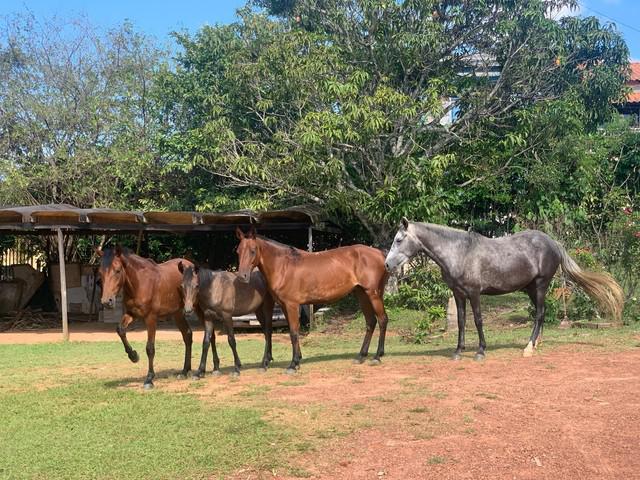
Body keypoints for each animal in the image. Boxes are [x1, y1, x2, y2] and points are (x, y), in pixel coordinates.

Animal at [95, 248, 199, 390]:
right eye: (100, 272)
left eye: (117, 270)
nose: (107, 301)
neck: (140, 283)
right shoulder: (132, 314)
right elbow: (120, 330)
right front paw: (133, 356)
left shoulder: (151, 318)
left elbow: (150, 348)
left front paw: (149, 379)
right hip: (177, 314)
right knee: (187, 335)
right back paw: (184, 371)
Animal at [236, 227, 390, 374]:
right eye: (238, 251)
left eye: (253, 251)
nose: (242, 276)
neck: (284, 266)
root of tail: (380, 254)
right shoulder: (284, 306)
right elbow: (292, 332)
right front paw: (297, 360)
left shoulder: (292, 305)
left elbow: (293, 332)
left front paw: (293, 365)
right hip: (362, 294)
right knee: (371, 322)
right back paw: (361, 356)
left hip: (373, 294)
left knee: (382, 319)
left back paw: (377, 356)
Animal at [382, 219, 624, 358]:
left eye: (399, 239)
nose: (387, 265)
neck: (460, 252)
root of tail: (553, 243)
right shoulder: (458, 294)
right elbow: (461, 321)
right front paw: (458, 351)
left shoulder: (474, 293)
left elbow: (478, 320)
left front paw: (481, 350)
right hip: (530, 289)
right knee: (542, 314)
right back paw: (536, 343)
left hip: (540, 285)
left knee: (539, 314)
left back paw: (529, 347)